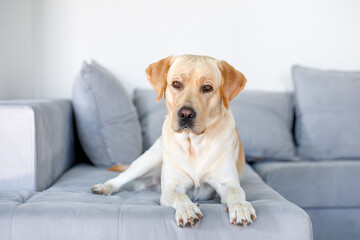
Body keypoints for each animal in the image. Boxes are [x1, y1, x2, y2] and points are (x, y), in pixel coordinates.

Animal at [91, 54, 258, 227]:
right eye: (176, 84)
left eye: (207, 87)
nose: (186, 114)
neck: (193, 144)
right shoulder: (171, 188)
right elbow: (181, 196)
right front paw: (187, 209)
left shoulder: (228, 183)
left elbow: (236, 194)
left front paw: (240, 207)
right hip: (148, 160)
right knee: (122, 177)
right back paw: (104, 187)